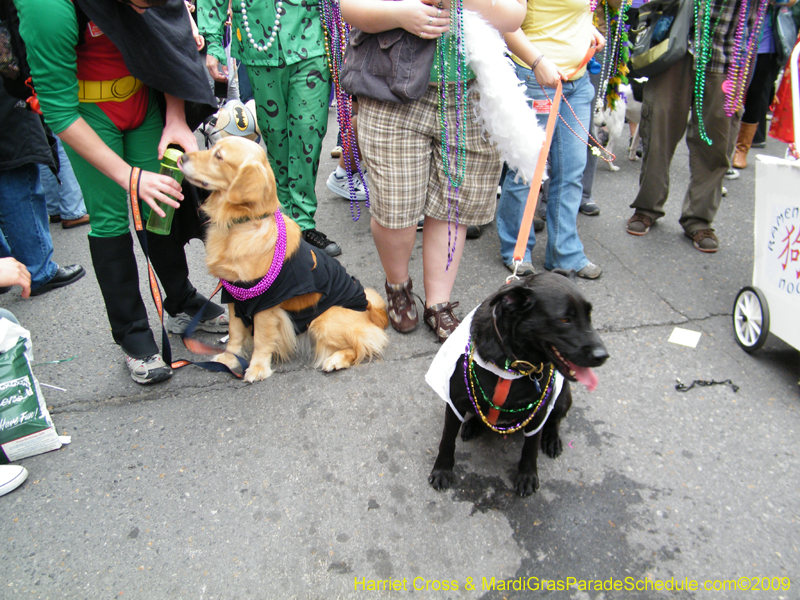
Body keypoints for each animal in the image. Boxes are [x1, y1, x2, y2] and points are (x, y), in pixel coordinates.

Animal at [180, 137, 386, 380]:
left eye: (219, 156)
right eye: (212, 147)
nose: (181, 157)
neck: (242, 224)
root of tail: (371, 310)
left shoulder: (265, 302)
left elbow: (261, 338)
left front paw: (257, 368)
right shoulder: (233, 295)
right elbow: (235, 333)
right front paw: (229, 359)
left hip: (322, 320)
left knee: (363, 344)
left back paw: (336, 360)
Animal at [432, 272, 608, 496]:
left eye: (589, 316)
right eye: (564, 319)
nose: (603, 356)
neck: (512, 361)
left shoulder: (539, 413)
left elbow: (530, 448)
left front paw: (527, 476)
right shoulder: (454, 402)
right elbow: (447, 440)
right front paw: (442, 470)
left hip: (562, 400)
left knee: (555, 420)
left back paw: (552, 439)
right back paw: (473, 425)